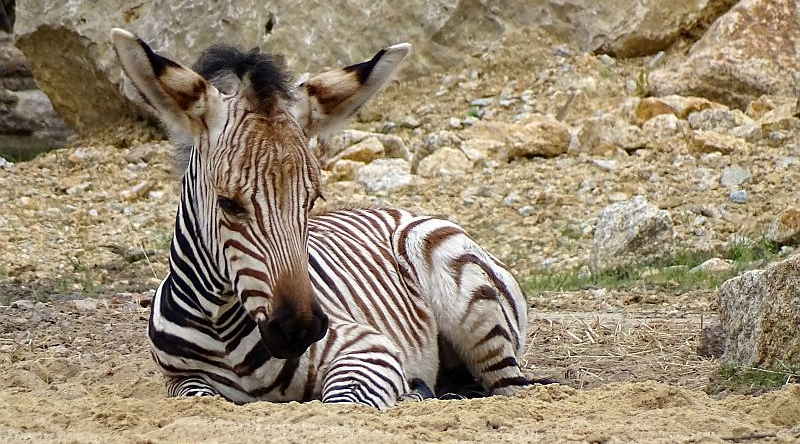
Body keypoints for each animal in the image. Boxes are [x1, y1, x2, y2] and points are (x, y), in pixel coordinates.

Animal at [109, 28, 540, 410]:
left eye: (311, 201)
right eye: (228, 204)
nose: (299, 329)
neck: (219, 323)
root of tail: (399, 211)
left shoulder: (369, 348)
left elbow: (341, 404)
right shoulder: (179, 381)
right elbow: (199, 396)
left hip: (474, 307)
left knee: (509, 387)